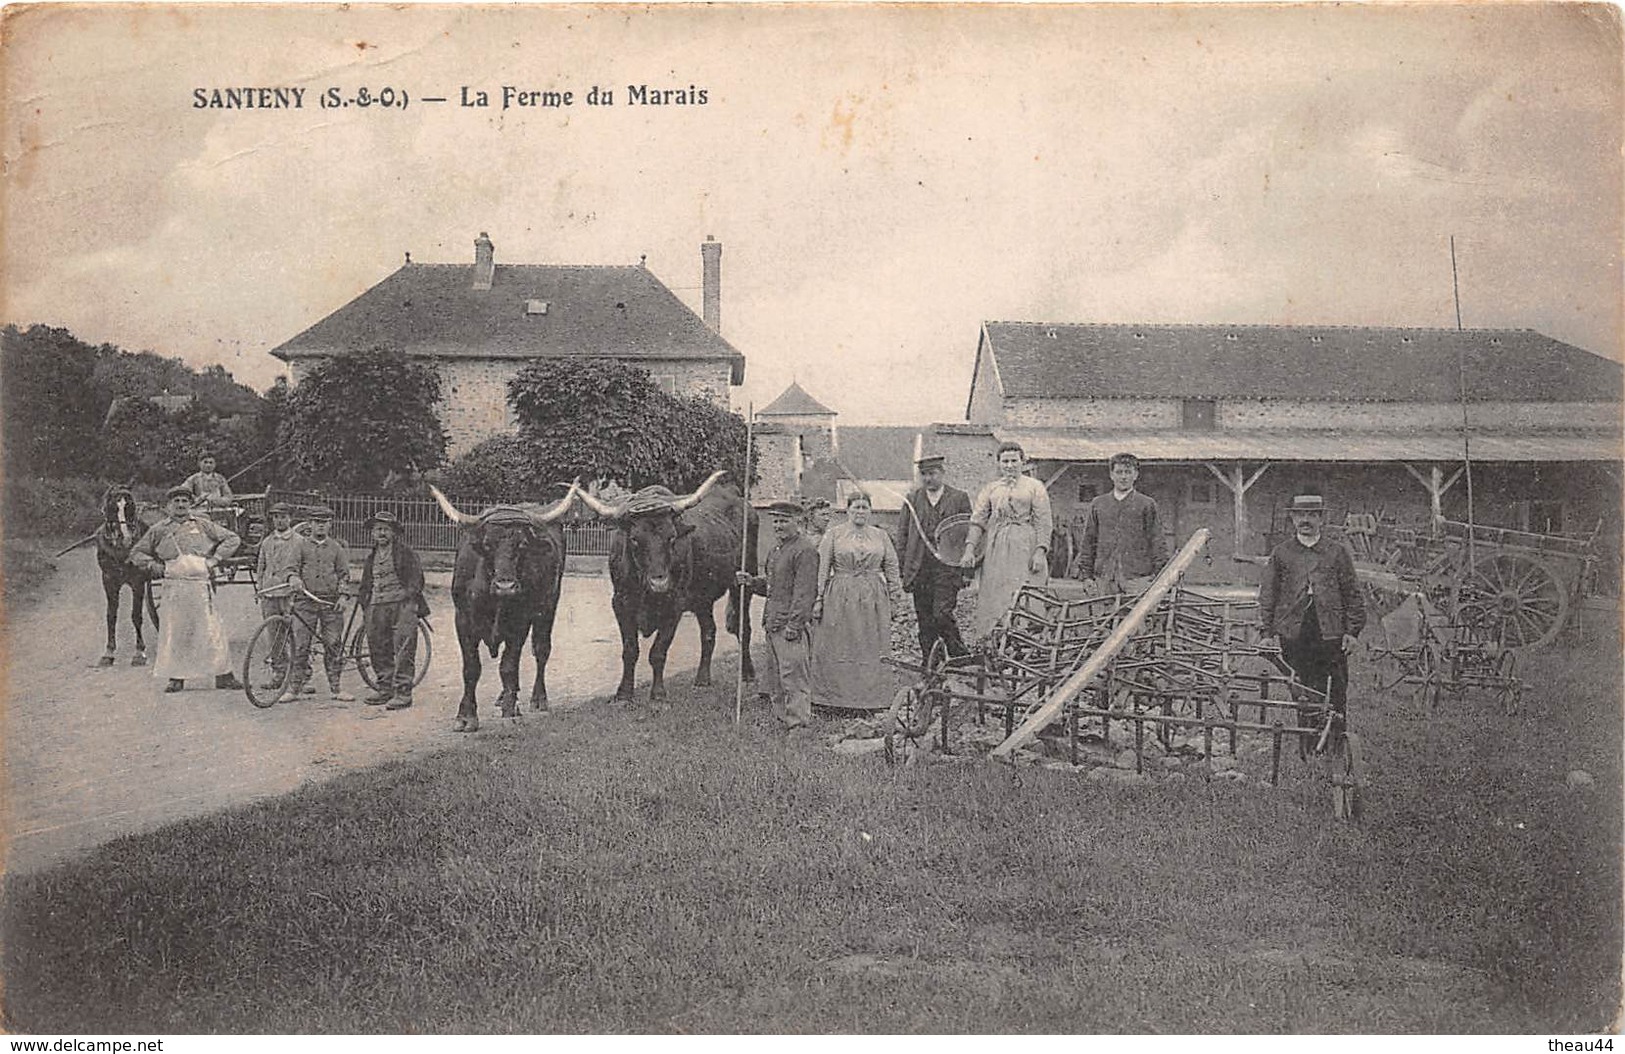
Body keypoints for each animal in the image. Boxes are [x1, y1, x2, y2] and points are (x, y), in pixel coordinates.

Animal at [94, 487, 158, 665]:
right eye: (111, 507)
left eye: (130, 506)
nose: (125, 538)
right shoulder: (108, 580)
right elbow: (111, 615)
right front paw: (108, 652)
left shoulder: (138, 581)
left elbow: (136, 615)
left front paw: (139, 652)